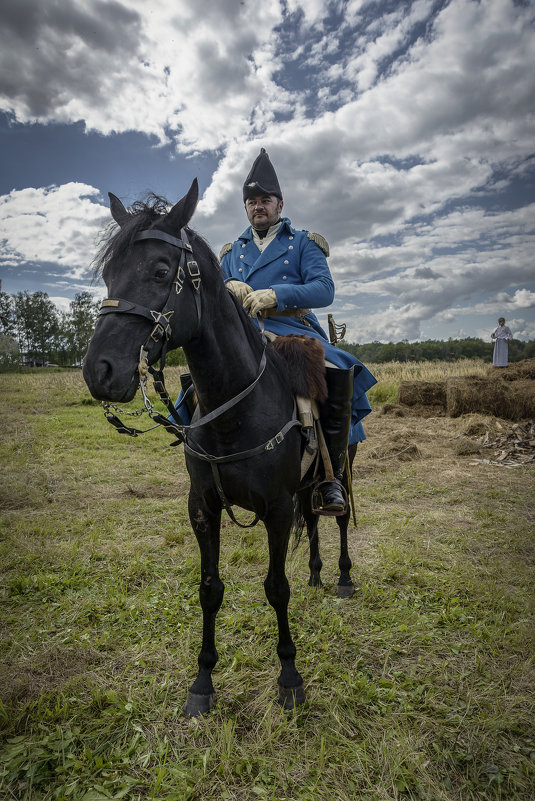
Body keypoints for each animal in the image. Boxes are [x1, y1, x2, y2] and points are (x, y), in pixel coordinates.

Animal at [84, 180, 358, 712]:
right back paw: (316, 573)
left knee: (337, 515)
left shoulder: (275, 509)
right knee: (313, 517)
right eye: (107, 274)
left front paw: (289, 676)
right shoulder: (203, 507)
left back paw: (340, 576)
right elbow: (210, 589)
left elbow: (276, 587)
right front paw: (203, 681)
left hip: (340, 464)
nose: (98, 371)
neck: (235, 410)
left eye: (161, 271)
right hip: (304, 485)